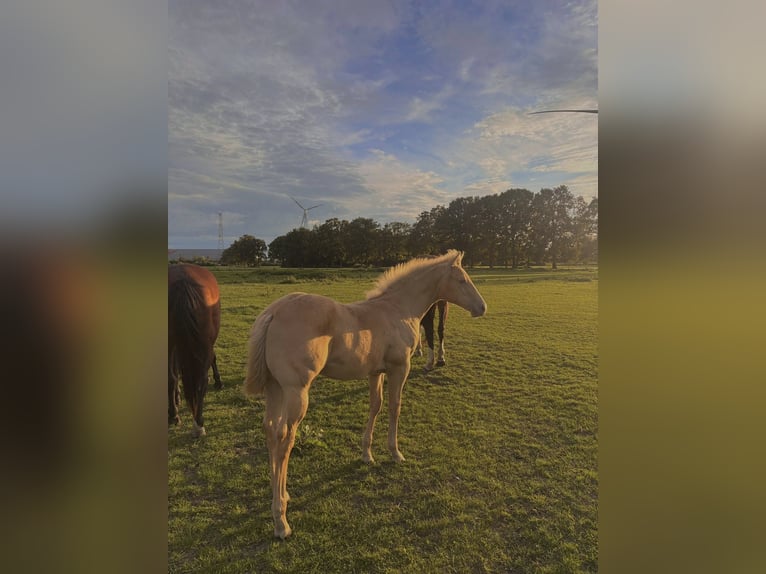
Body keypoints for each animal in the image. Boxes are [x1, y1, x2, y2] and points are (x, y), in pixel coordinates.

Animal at [244, 250, 486, 538]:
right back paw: (281, 521)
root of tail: (273, 312)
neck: (398, 309)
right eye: (462, 279)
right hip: (296, 392)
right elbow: (394, 406)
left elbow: (375, 406)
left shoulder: (375, 372)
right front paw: (395, 453)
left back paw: (281, 495)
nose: (482, 307)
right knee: (285, 440)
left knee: (270, 431)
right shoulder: (399, 368)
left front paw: (367, 454)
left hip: (275, 389)